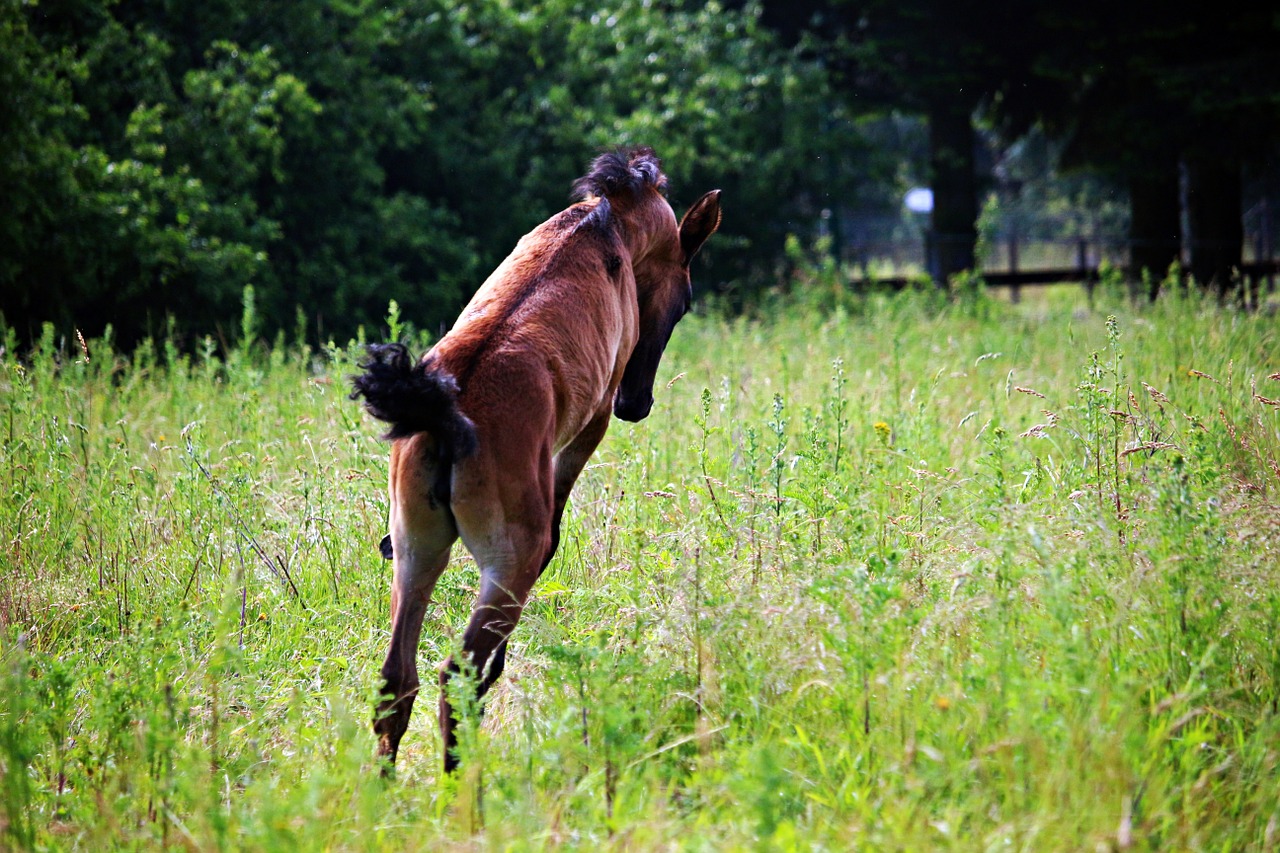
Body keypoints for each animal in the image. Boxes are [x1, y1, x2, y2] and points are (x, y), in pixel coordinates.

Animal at [350, 147, 721, 768]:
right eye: (686, 299)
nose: (637, 403)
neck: (604, 226)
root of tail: (443, 413)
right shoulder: (588, 426)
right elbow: (557, 527)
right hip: (505, 565)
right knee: (457, 676)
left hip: (416, 553)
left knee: (397, 682)